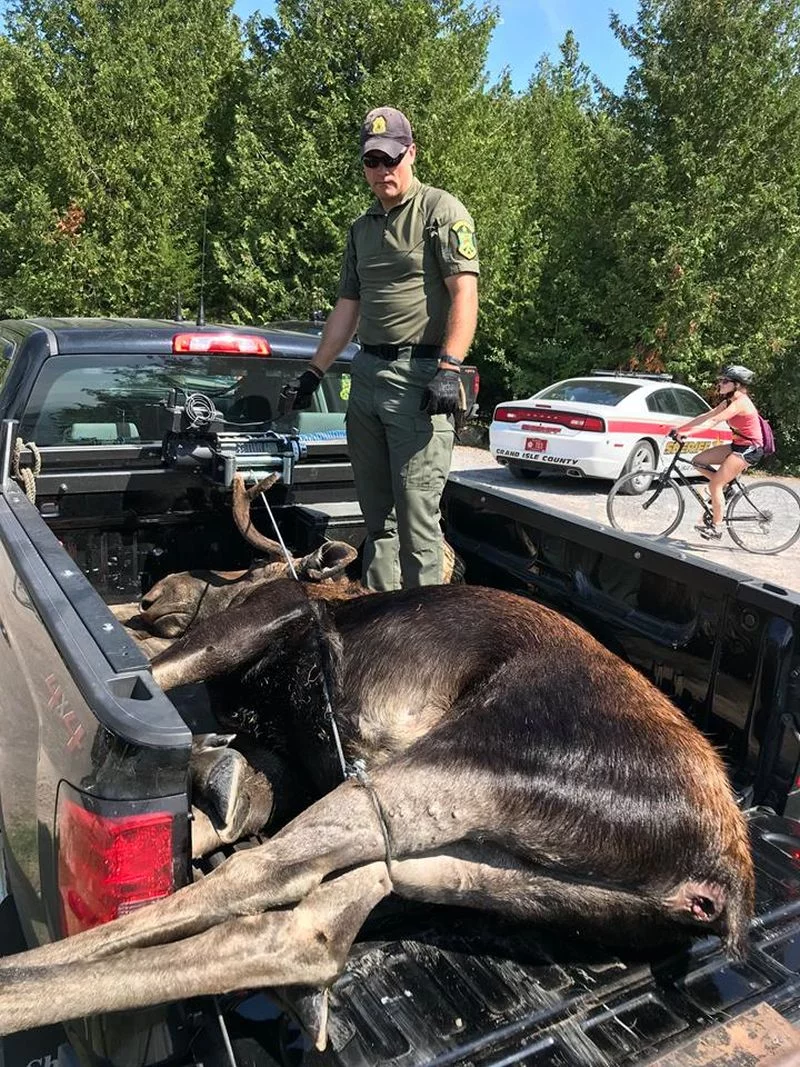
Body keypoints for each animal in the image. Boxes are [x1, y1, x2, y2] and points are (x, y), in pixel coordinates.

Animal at [0, 567, 759, 1041]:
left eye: (230, 573)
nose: (153, 594)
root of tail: (722, 883)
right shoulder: (286, 752)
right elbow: (236, 793)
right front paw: (215, 784)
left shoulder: (263, 621)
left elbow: (169, 672)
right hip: (481, 868)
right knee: (306, 929)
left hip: (453, 768)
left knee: (263, 877)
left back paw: (12, 991)